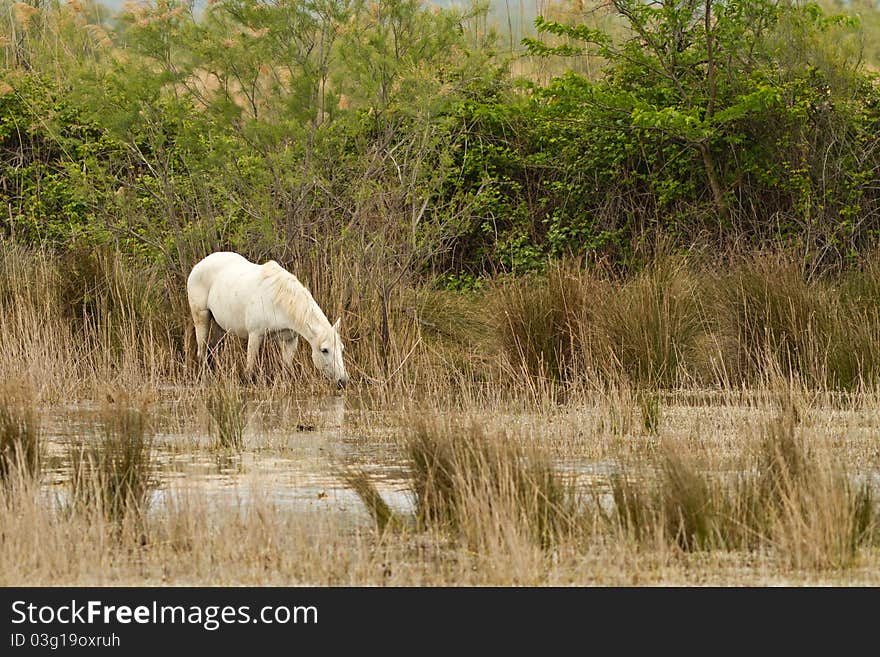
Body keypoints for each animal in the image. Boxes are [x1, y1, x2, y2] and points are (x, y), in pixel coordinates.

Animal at [187, 250, 348, 384]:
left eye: (341, 348)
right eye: (324, 350)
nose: (343, 381)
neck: (280, 300)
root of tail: (198, 266)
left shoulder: (290, 340)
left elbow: (287, 368)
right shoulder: (255, 335)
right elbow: (249, 370)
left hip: (218, 325)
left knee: (213, 350)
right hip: (201, 317)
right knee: (202, 352)